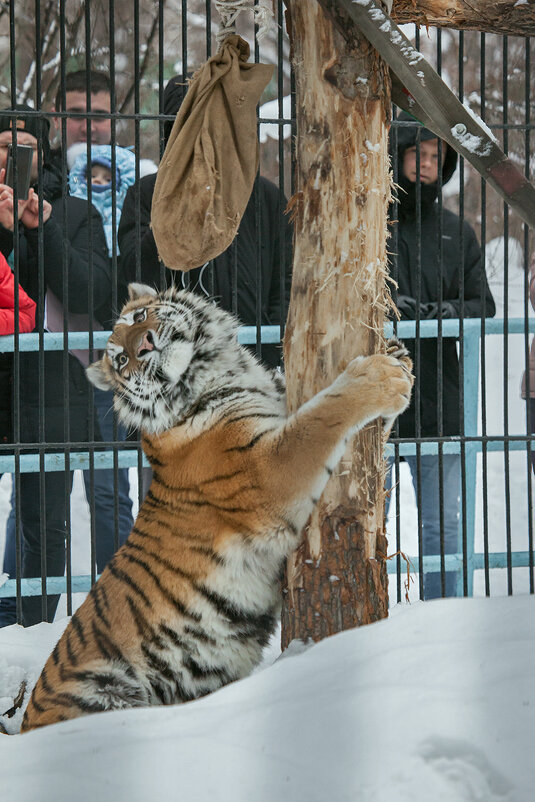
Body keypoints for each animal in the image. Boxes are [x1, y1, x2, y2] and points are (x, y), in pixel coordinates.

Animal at [21, 282, 412, 732]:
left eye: (138, 319)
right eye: (120, 359)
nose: (144, 345)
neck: (227, 370)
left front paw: (399, 358)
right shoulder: (266, 472)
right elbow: (321, 416)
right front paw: (377, 376)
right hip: (105, 685)